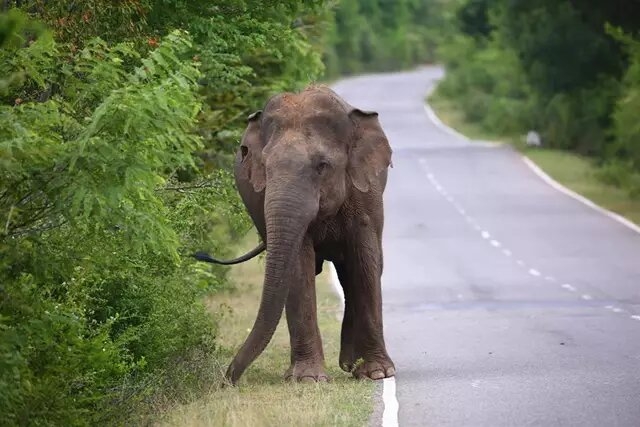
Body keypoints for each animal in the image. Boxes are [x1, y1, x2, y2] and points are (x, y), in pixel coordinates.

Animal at [196, 85, 396, 386]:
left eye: (322, 165)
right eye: (265, 167)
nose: (226, 381)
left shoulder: (365, 194)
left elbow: (364, 262)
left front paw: (378, 373)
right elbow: (298, 265)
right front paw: (308, 379)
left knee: (359, 269)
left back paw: (351, 365)